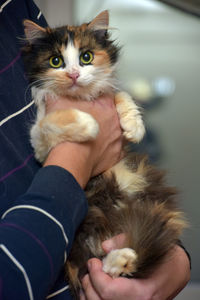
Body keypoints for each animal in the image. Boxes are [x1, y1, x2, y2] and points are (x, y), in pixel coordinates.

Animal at [22, 10, 187, 298]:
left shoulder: (108, 92)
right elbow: (51, 122)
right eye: (56, 61)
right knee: (92, 265)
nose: (74, 74)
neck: (79, 99)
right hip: (79, 244)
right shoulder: (40, 142)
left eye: (86, 57)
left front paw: (134, 125)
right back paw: (121, 258)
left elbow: (118, 94)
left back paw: (124, 257)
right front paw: (90, 123)